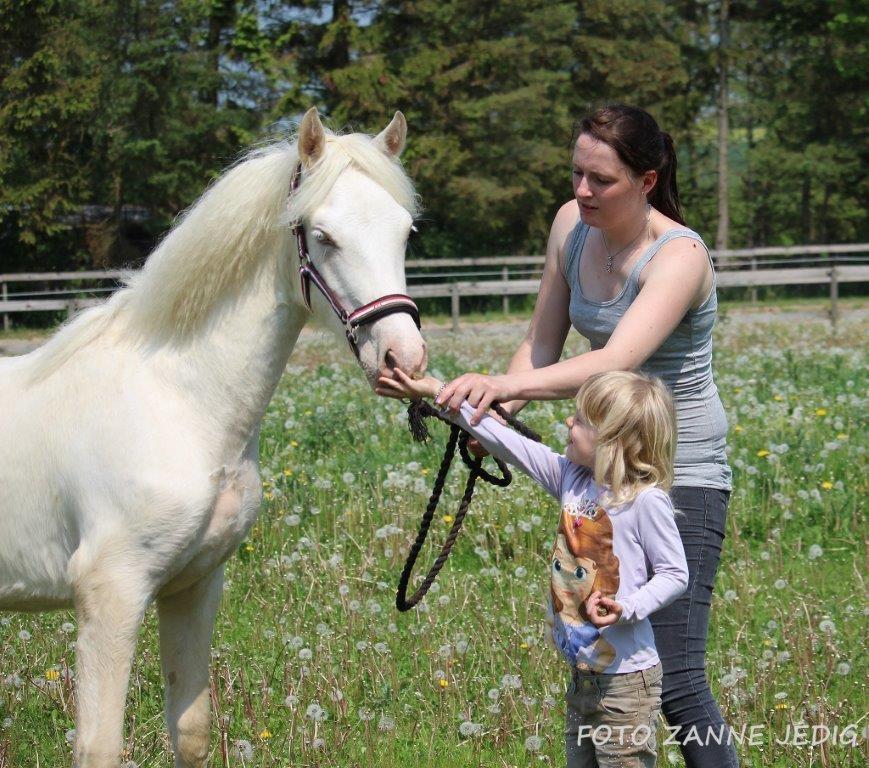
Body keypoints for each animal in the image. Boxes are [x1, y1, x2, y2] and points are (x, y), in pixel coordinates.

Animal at [0, 109, 428, 768]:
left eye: (405, 233)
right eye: (322, 235)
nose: (401, 360)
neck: (177, 402)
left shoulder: (194, 586)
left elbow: (193, 730)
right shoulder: (110, 594)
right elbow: (99, 746)